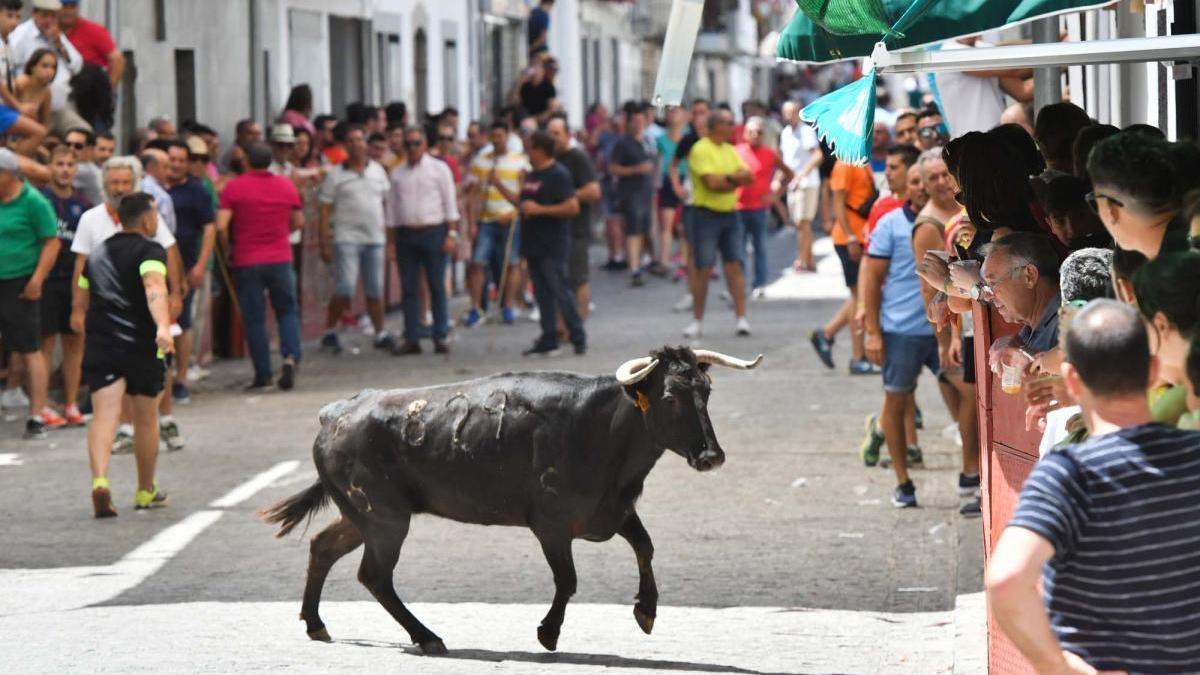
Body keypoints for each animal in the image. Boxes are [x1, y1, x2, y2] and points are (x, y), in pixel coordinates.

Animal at [266, 343, 763, 648]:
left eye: (706, 391)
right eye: (671, 396)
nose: (711, 456)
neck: (600, 429)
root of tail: (337, 412)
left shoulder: (613, 512)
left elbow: (645, 547)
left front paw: (646, 612)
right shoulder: (552, 526)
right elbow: (568, 580)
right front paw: (548, 632)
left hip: (365, 516)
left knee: (323, 546)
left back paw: (317, 624)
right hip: (386, 519)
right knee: (374, 575)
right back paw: (427, 636)